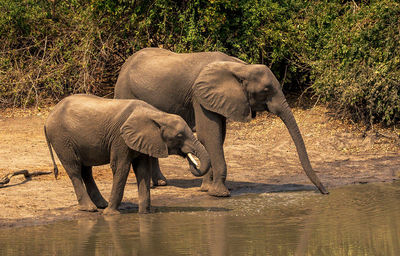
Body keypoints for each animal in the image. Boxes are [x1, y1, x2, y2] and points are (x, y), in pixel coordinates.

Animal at [45, 94, 211, 214]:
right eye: (179, 136)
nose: (193, 163)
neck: (157, 115)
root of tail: (48, 118)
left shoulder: (143, 139)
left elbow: (143, 170)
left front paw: (144, 214)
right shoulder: (120, 138)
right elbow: (121, 167)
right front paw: (111, 214)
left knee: (86, 170)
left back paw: (101, 205)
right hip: (61, 139)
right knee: (74, 169)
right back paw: (91, 208)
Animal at [115, 47, 328, 196]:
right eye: (266, 90)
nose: (325, 192)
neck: (240, 67)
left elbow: (219, 135)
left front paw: (206, 188)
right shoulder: (199, 95)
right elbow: (210, 134)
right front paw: (219, 193)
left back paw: (160, 183)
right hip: (125, 91)